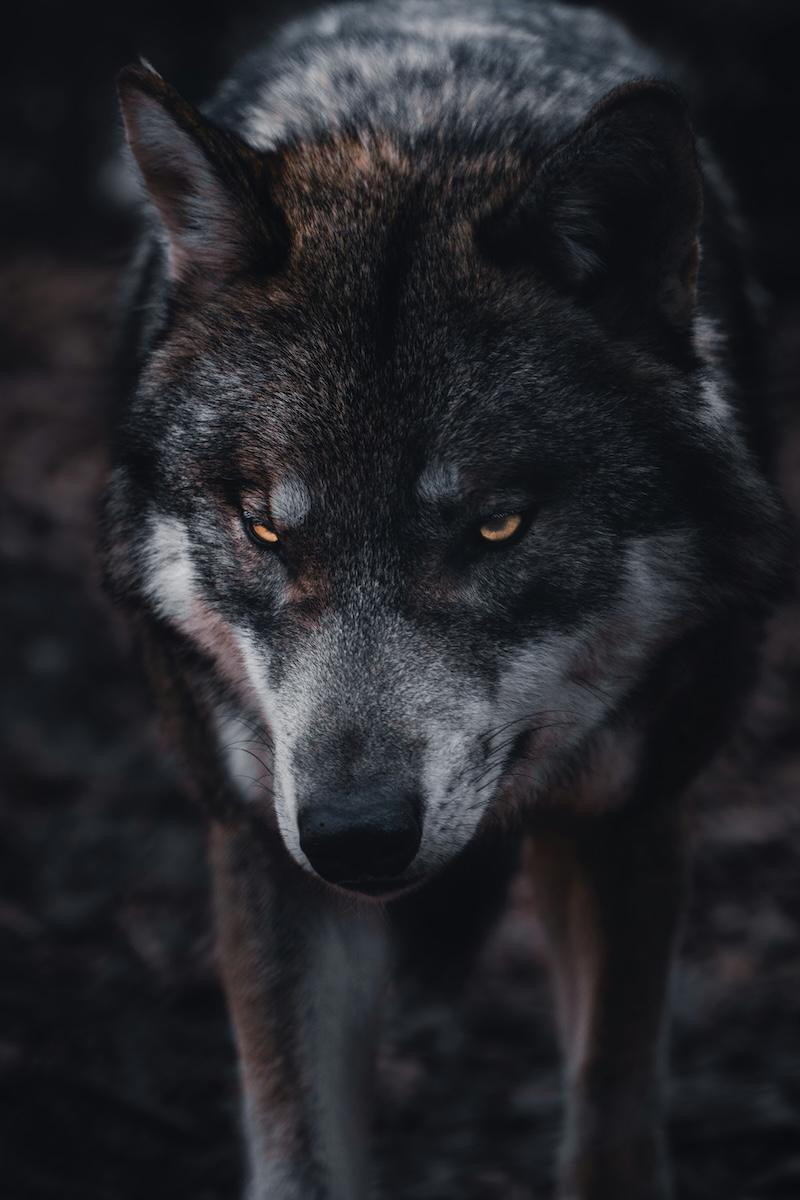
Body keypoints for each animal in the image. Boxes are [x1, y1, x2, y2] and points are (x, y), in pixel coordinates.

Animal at [104, 1, 786, 1196]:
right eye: (266, 529)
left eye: (496, 526)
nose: (353, 836)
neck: (420, 129)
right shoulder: (262, 846)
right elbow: (300, 1152)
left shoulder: (634, 816)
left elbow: (611, 1116)